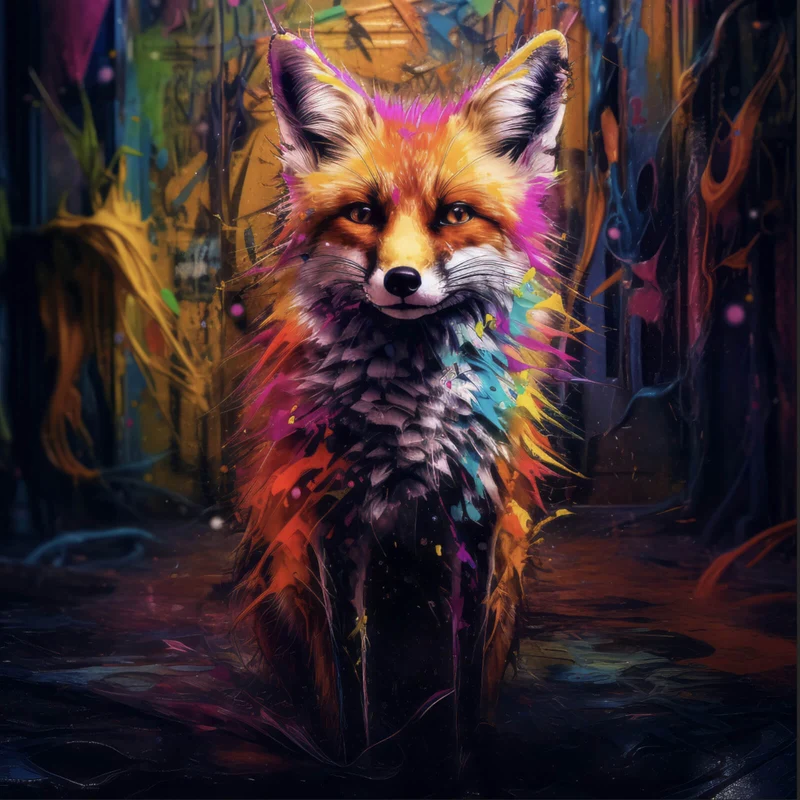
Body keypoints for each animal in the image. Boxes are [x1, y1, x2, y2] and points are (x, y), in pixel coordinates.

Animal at [230, 28, 572, 762]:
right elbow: (348, 676)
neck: (409, 428)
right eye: (364, 214)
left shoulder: (475, 523)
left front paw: (463, 756)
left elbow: (464, 680)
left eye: (454, 215)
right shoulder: (331, 523)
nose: (403, 279)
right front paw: (355, 762)